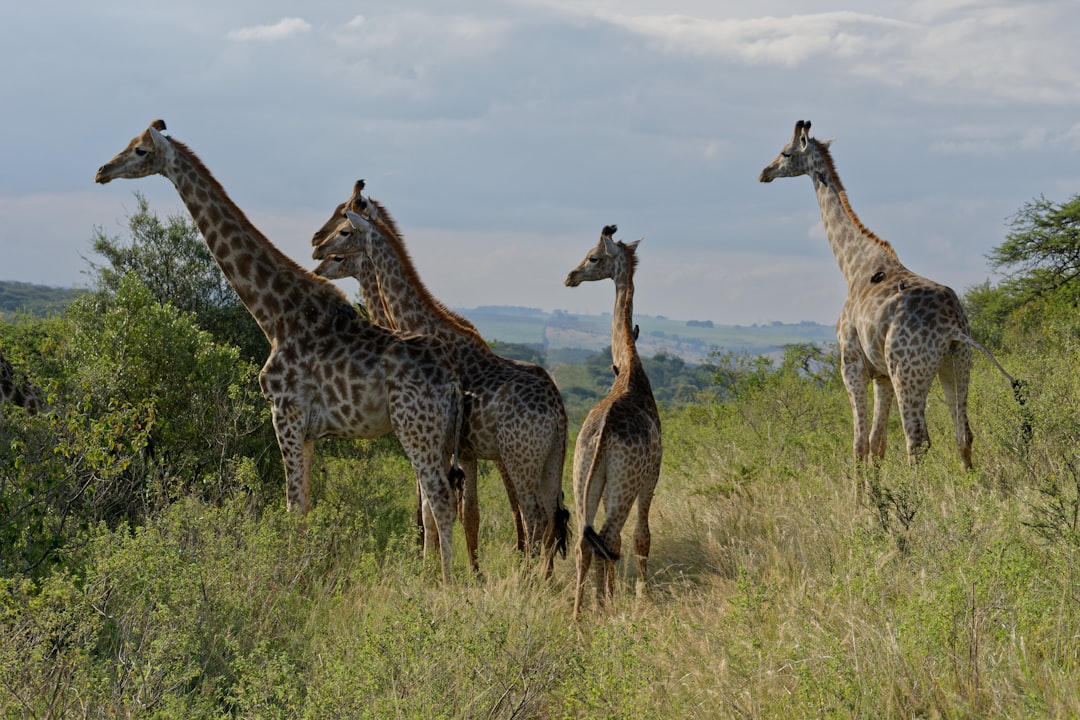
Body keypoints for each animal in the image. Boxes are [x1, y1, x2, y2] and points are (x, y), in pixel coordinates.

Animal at [308, 184, 570, 574]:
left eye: (343, 227)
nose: (315, 249)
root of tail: (558, 412)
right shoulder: (465, 450)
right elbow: (464, 513)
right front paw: (463, 571)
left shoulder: (442, 444)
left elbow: (437, 510)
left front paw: (435, 570)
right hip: (550, 457)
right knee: (551, 516)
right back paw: (545, 579)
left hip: (518, 456)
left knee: (533, 515)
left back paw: (526, 577)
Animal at [561, 225, 660, 621]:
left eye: (593, 257)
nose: (570, 276)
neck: (629, 367)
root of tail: (602, 434)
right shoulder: (651, 477)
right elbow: (641, 537)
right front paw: (641, 597)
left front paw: (611, 596)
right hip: (624, 484)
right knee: (608, 535)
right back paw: (599, 607)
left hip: (581, 476)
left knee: (586, 541)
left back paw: (578, 615)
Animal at [756, 120, 1015, 470]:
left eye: (785, 152)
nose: (764, 172)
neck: (852, 265)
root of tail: (953, 325)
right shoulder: (881, 375)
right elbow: (877, 443)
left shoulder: (851, 363)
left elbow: (859, 444)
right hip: (956, 362)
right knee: (963, 434)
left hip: (908, 370)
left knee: (917, 440)